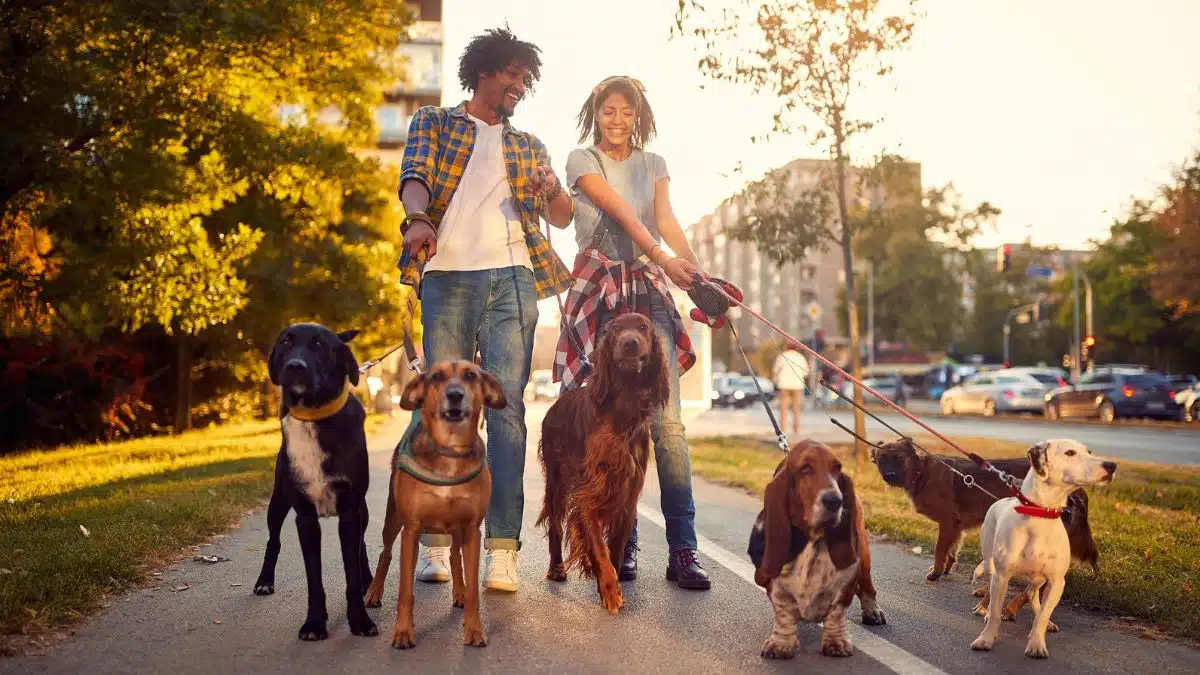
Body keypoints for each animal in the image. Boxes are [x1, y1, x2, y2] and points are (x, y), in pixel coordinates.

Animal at [255, 324, 376, 638]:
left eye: (319, 344)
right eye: (285, 342)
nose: (294, 366)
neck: (314, 417)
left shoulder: (350, 512)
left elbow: (352, 572)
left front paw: (360, 621)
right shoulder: (305, 518)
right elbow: (313, 580)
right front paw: (314, 624)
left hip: (364, 511)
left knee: (362, 546)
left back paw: (370, 581)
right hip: (277, 503)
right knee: (273, 540)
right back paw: (264, 581)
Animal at [369, 357, 511, 648]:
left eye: (470, 375)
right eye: (436, 377)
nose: (455, 395)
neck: (450, 452)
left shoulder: (472, 530)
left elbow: (473, 591)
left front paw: (474, 630)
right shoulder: (411, 530)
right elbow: (406, 591)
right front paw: (403, 632)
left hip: (457, 530)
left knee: (455, 557)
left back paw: (459, 592)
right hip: (393, 519)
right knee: (385, 553)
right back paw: (373, 593)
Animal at [540, 312, 672, 612]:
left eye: (643, 327)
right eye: (615, 330)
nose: (630, 342)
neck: (622, 408)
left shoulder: (626, 496)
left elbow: (616, 550)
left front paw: (610, 583)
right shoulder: (589, 491)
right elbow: (599, 549)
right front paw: (610, 592)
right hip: (556, 482)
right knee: (555, 526)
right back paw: (556, 568)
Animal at [744, 437, 888, 658]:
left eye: (837, 468)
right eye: (805, 468)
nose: (836, 501)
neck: (814, 540)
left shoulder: (845, 581)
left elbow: (837, 611)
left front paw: (836, 642)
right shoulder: (776, 585)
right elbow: (783, 611)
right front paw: (781, 643)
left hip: (864, 556)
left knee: (867, 587)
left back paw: (872, 611)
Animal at [974, 437, 1113, 658]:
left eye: (1089, 452)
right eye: (1070, 453)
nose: (1111, 465)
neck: (1040, 516)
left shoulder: (1057, 582)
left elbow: (1041, 614)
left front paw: (1037, 642)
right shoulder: (1002, 576)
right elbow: (996, 612)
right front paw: (986, 639)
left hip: (1039, 578)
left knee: (1032, 593)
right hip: (991, 564)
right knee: (991, 588)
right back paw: (983, 608)